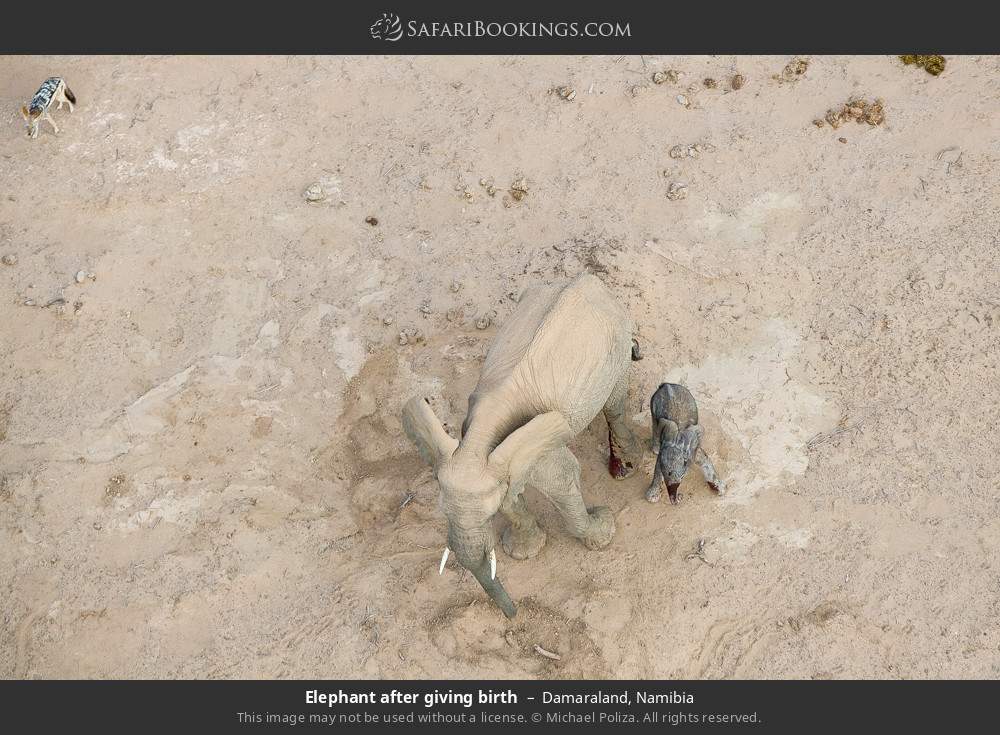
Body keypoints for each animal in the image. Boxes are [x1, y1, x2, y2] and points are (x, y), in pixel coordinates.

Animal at [402, 273, 643, 617]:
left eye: (488, 517)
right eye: (441, 512)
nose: (513, 616)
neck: (478, 440)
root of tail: (588, 279)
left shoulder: (544, 443)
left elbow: (564, 481)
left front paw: (602, 527)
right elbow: (510, 496)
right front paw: (524, 550)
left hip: (617, 343)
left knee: (615, 403)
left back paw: (628, 465)